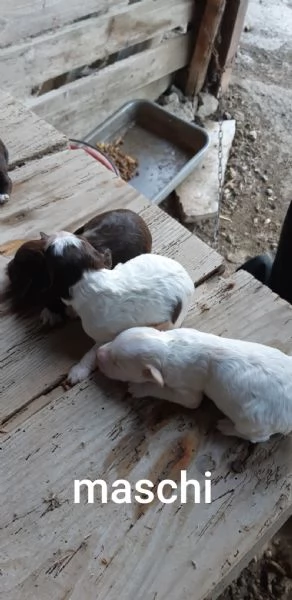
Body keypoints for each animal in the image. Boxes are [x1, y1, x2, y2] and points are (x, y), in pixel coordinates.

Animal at [44, 231, 195, 384]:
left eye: (49, 250)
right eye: (80, 238)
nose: (59, 233)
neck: (88, 278)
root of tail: (187, 277)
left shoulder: (103, 334)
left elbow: (93, 351)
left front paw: (78, 371)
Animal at [97, 326, 292, 442]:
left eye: (117, 363)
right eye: (114, 338)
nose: (98, 353)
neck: (168, 347)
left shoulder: (185, 386)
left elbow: (181, 397)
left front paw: (137, 388)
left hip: (254, 423)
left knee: (257, 438)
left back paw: (226, 427)